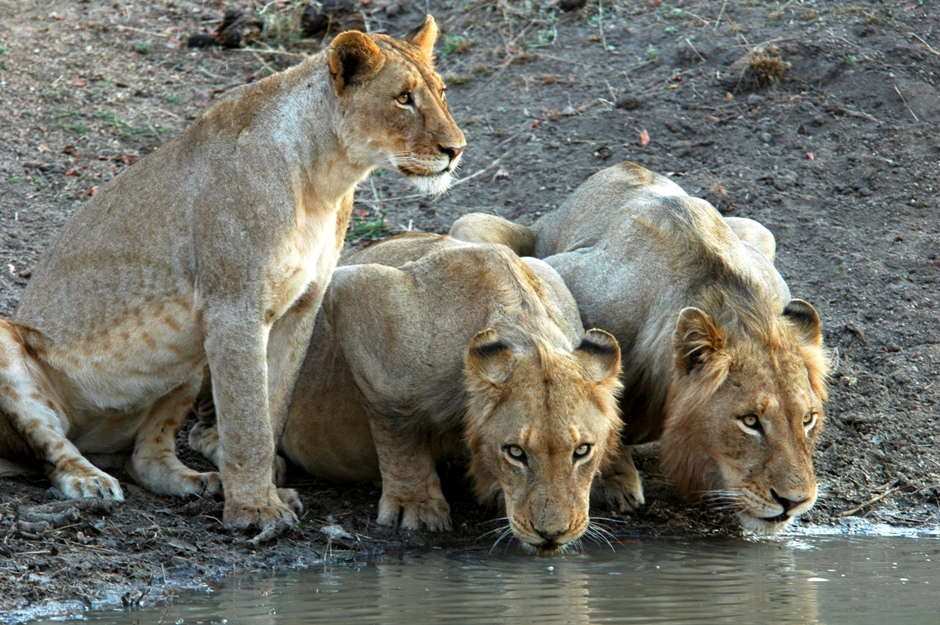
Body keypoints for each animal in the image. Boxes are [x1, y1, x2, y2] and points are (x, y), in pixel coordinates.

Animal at [0, 17, 464, 528]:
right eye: (403, 98)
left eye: (442, 92)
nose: (456, 149)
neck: (326, 180)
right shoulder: (233, 308)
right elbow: (248, 420)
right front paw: (256, 509)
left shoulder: (300, 308)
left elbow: (272, 406)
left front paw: (263, 492)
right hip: (18, 349)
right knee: (53, 445)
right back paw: (88, 481)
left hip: (185, 362)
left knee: (146, 458)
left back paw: (199, 482)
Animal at [192, 233, 628, 552]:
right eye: (515, 452)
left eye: (582, 451)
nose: (552, 533)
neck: (528, 330)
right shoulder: (354, 292)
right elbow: (395, 426)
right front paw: (414, 504)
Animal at [452, 161, 832, 532]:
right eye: (750, 421)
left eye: (808, 419)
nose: (795, 501)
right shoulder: (567, 273)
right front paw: (616, 478)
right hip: (475, 227)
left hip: (759, 231)